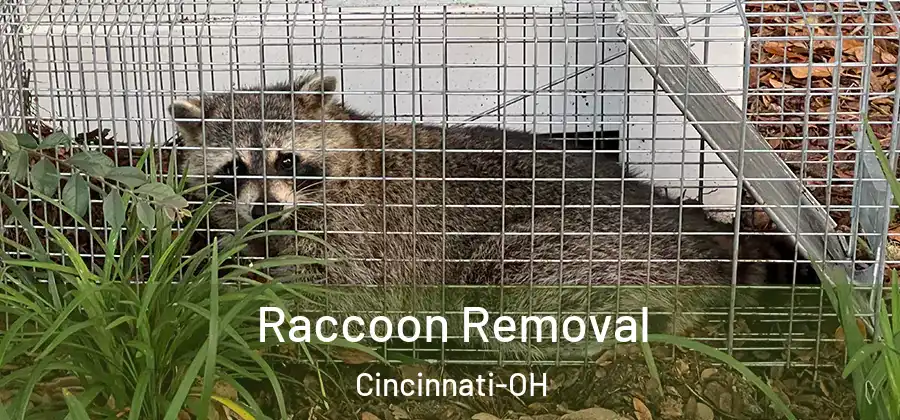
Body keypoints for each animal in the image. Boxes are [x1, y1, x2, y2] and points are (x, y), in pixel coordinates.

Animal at [167, 73, 809, 358]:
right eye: (234, 168)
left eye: (287, 159)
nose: (265, 207)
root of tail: (695, 237)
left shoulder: (366, 236)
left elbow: (346, 297)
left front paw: (253, 308)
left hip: (584, 247)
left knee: (512, 277)